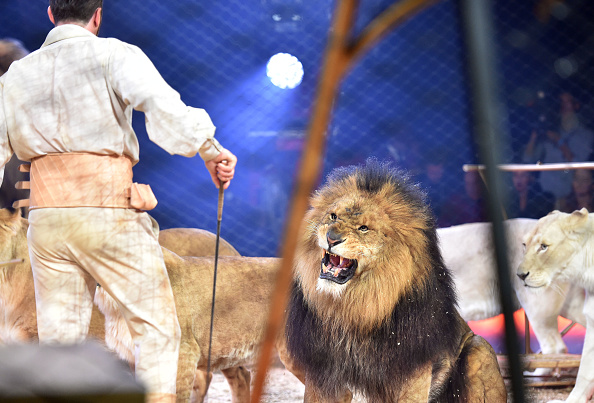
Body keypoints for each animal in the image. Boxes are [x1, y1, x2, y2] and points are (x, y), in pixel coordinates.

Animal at [278, 161, 504, 403]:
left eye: (364, 228)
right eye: (333, 216)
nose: (332, 238)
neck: (353, 309)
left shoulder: (414, 372)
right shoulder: (321, 370)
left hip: (479, 348)